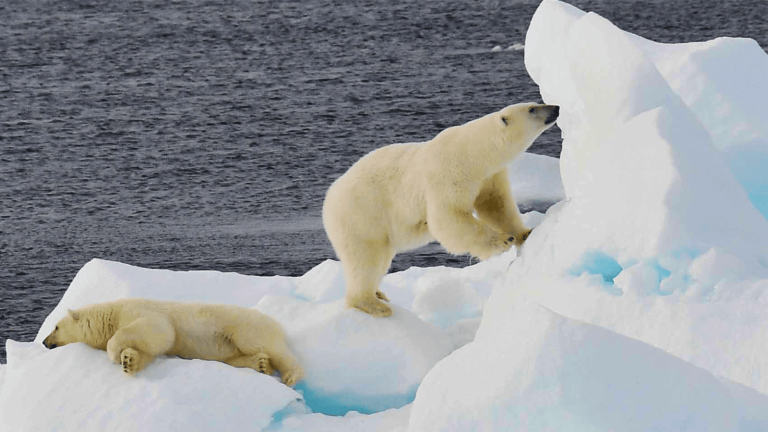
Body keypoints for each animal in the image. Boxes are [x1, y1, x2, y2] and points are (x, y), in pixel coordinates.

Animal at [42, 298, 303, 387]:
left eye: (55, 327)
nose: (44, 342)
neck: (113, 313)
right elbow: (148, 351)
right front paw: (129, 361)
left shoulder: (140, 311)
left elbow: (159, 331)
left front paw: (116, 353)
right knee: (237, 357)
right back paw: (261, 365)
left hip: (244, 326)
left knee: (268, 346)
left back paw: (291, 375)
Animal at [322, 102, 559, 317]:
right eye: (532, 109)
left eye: (536, 103)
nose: (556, 108)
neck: (474, 153)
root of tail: (327, 201)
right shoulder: (447, 173)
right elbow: (447, 218)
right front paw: (502, 240)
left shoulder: (489, 177)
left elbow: (496, 206)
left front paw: (525, 233)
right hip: (360, 215)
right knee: (364, 258)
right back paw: (372, 304)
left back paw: (379, 293)